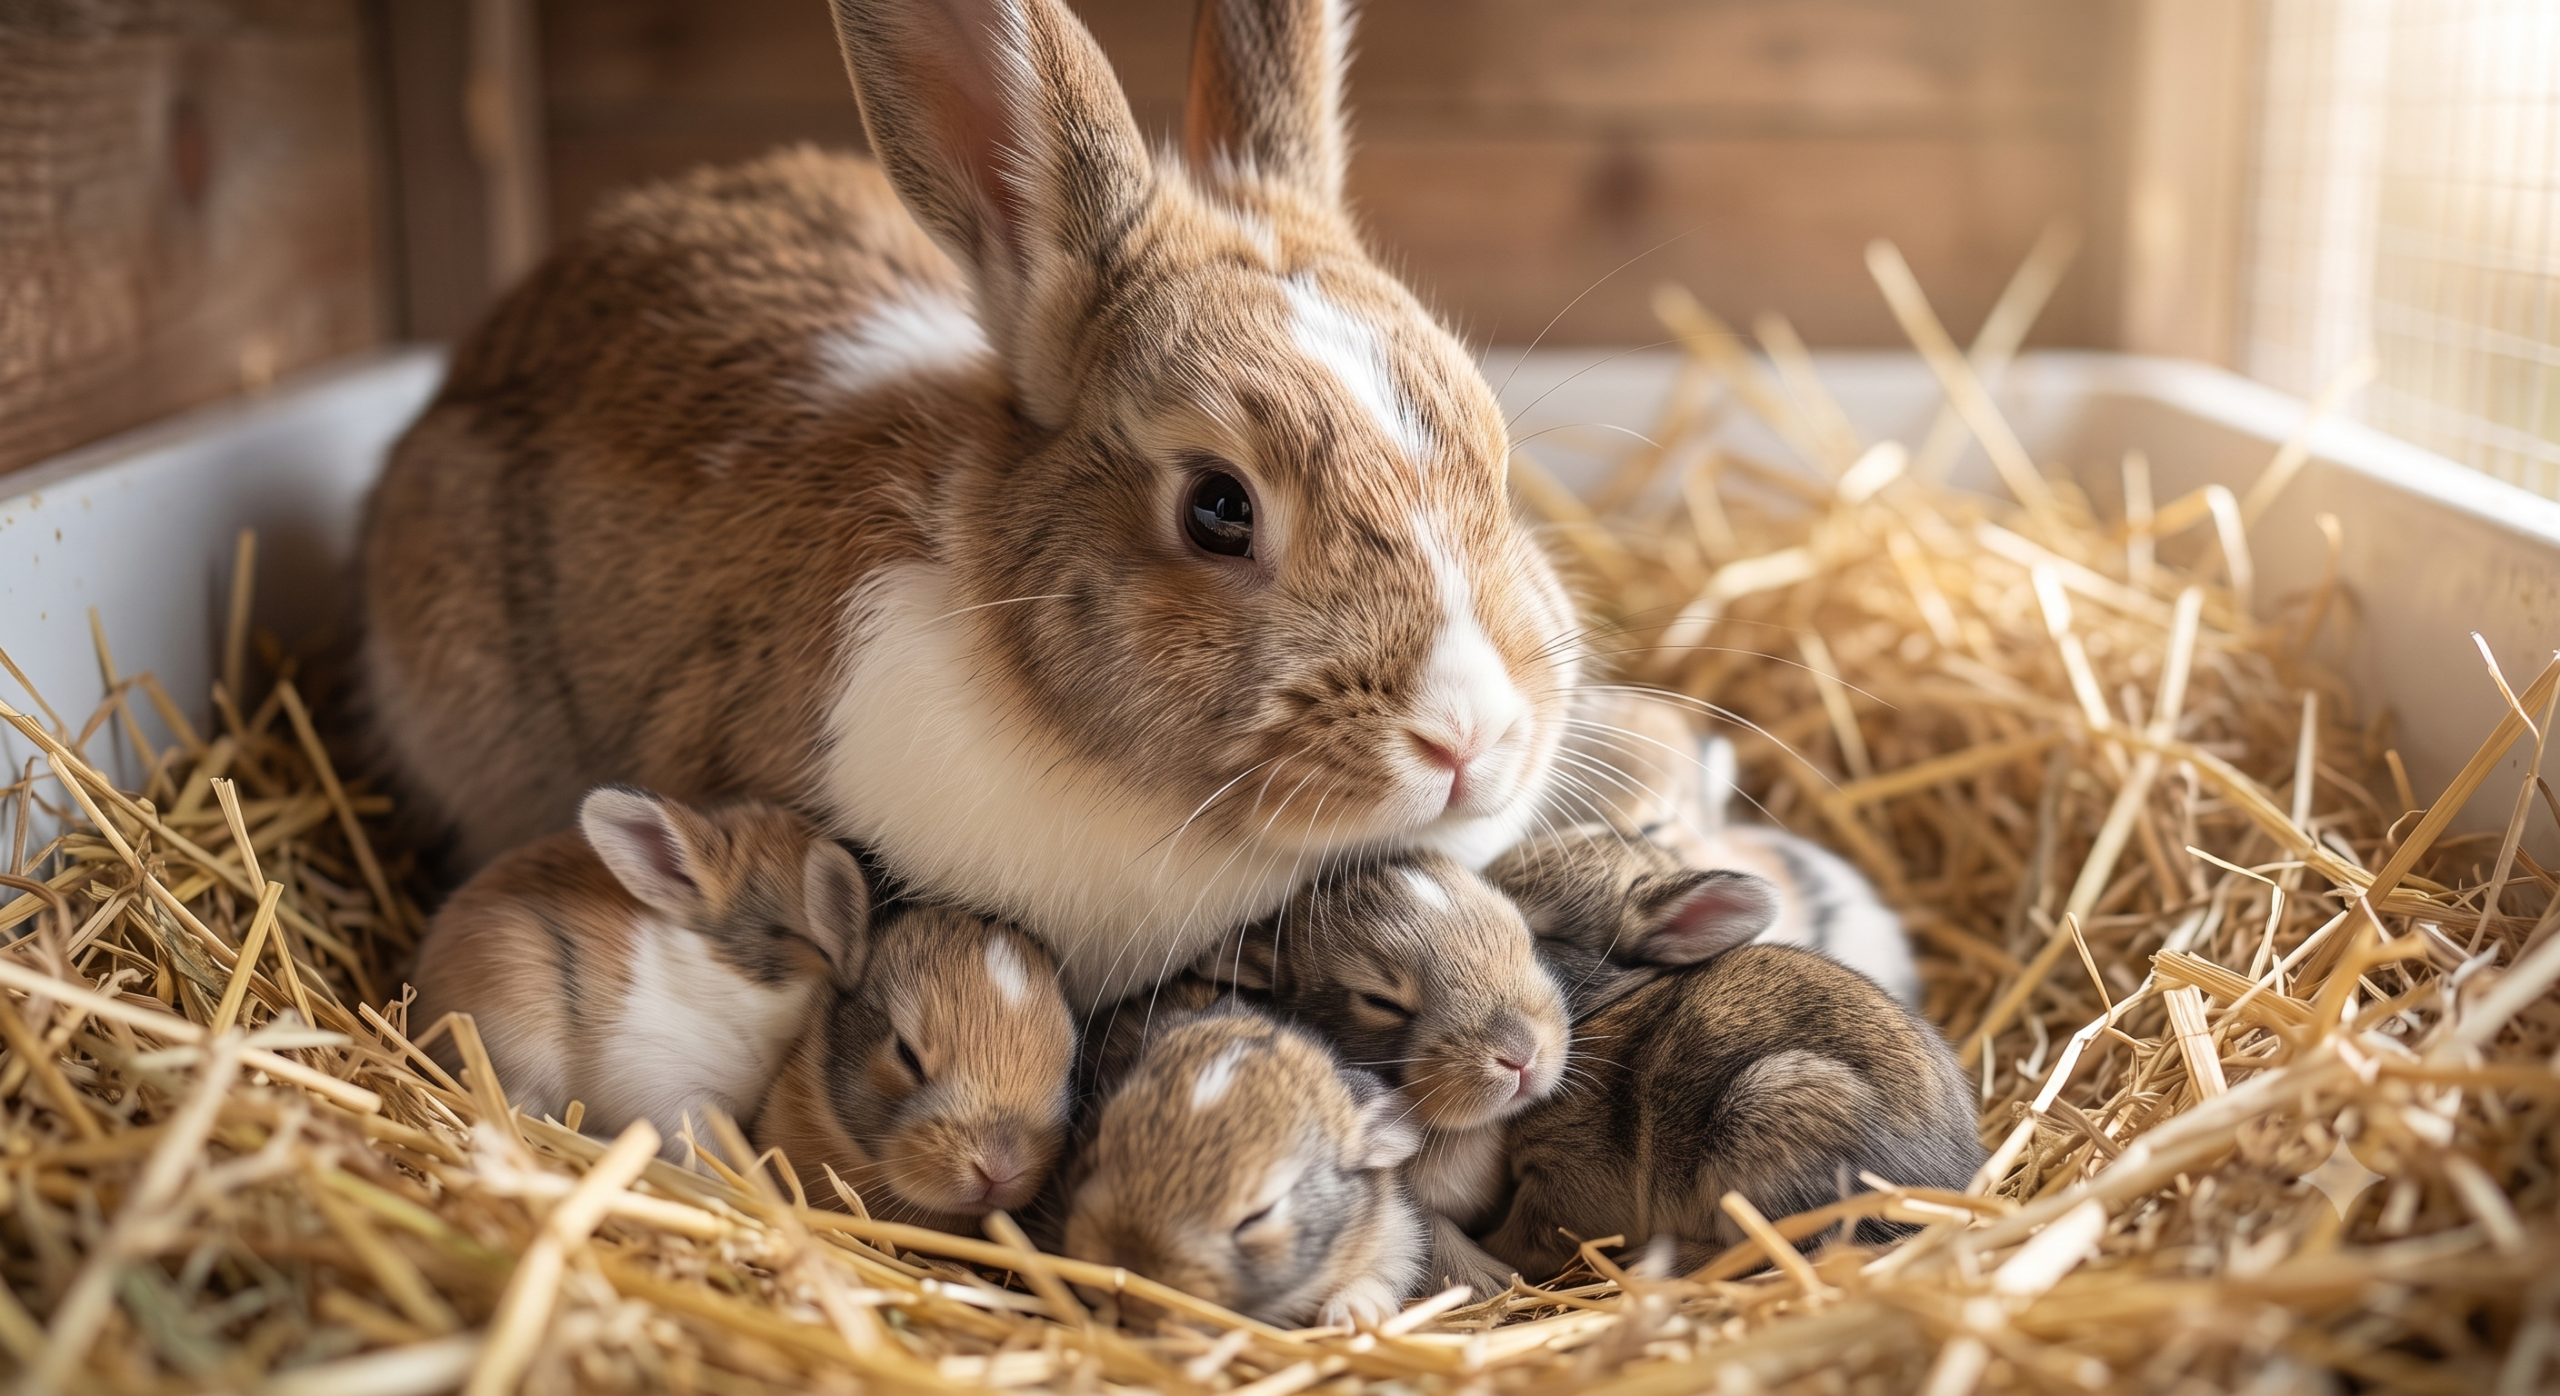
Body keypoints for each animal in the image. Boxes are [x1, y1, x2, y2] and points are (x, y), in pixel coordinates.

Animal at [1476, 823, 1983, 1281]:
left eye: (1532, 936)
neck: (1603, 1007)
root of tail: (1952, 1186)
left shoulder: (1570, 1176)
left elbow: (1529, 1240)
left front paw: (1487, 1251)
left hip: (1775, 1125)